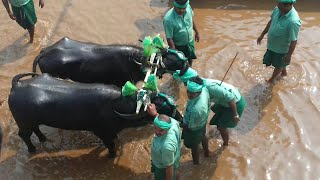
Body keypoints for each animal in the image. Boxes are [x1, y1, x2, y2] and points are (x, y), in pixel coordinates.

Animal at [8, 73, 182, 158]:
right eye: (162, 108)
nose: (180, 118)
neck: (116, 106)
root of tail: (17, 85)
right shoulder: (102, 133)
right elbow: (110, 146)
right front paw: (112, 156)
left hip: (32, 121)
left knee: (36, 129)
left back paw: (43, 139)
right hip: (23, 123)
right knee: (24, 135)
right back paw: (32, 149)